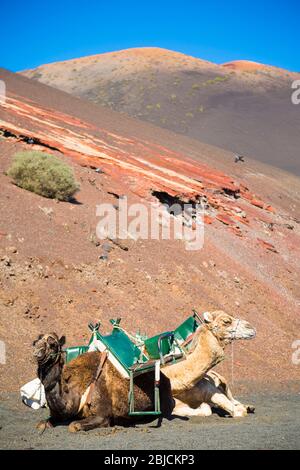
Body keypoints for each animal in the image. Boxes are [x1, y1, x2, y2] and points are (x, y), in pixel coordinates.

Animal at [32, 332, 173, 432]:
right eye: (35, 342)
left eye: (52, 344)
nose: (37, 353)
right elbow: (41, 424)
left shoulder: (102, 416)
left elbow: (73, 426)